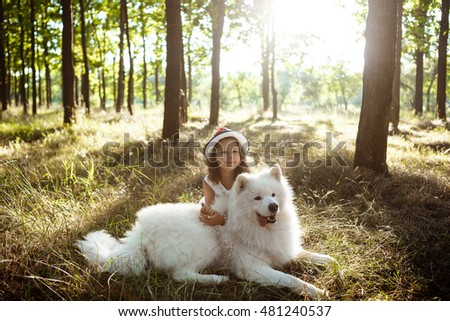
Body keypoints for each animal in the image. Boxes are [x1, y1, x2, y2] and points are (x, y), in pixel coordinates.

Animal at [76, 164, 334, 296]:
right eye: (257, 198)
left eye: (273, 195)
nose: (274, 207)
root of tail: (139, 232)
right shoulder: (253, 269)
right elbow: (290, 279)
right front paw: (315, 290)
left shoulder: (282, 248)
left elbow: (305, 254)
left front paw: (329, 260)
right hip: (205, 242)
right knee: (180, 274)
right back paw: (217, 279)